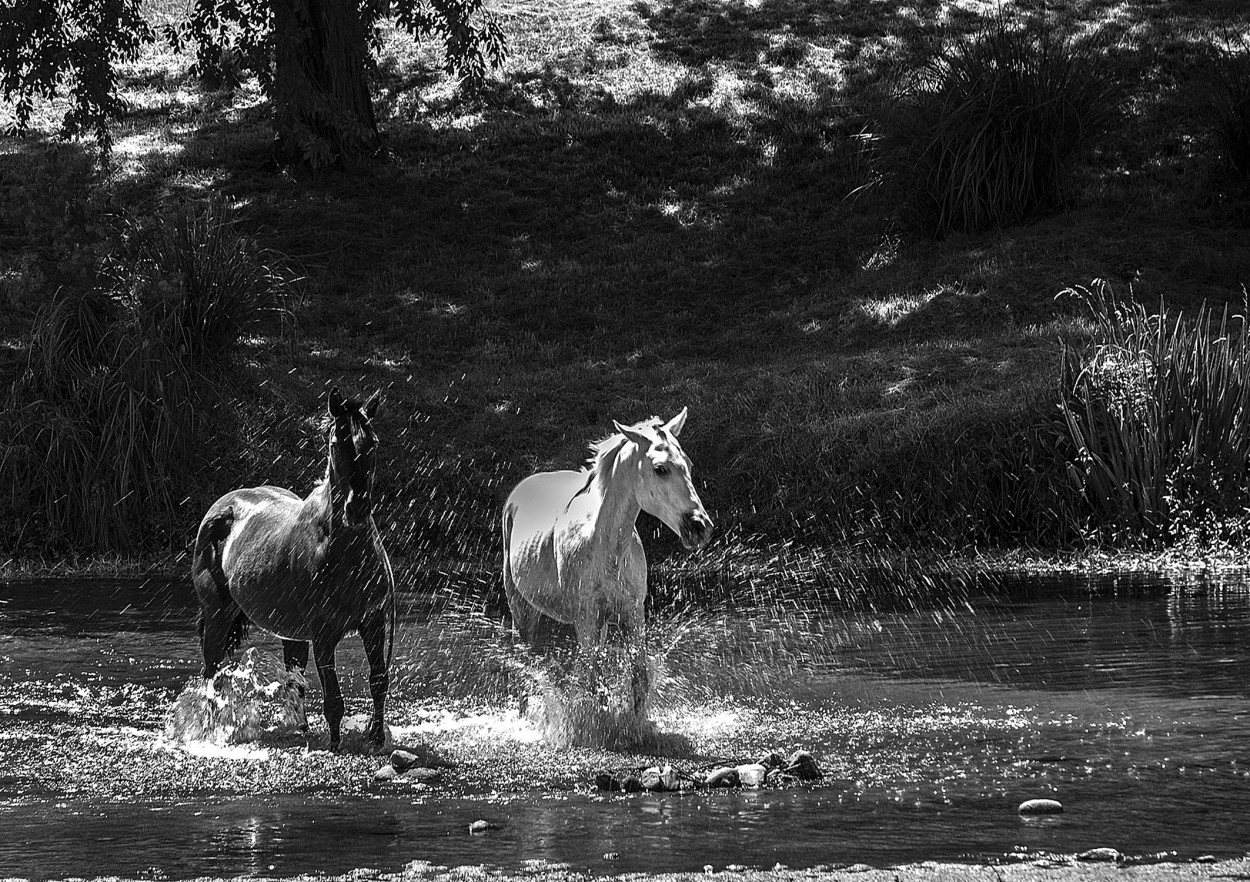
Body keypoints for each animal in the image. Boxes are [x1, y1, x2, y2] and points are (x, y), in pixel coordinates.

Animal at [190, 387, 392, 744]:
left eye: (374, 443)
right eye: (336, 442)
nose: (357, 508)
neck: (342, 551)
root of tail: (221, 507)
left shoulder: (374, 623)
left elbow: (378, 682)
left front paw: (377, 737)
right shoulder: (324, 634)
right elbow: (333, 698)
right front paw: (335, 745)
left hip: (291, 632)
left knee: (292, 682)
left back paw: (299, 728)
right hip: (217, 616)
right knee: (212, 673)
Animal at [497, 409, 715, 709]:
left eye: (689, 465)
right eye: (660, 469)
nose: (700, 527)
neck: (608, 549)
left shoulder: (632, 617)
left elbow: (638, 681)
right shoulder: (587, 621)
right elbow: (594, 687)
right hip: (520, 609)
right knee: (524, 664)